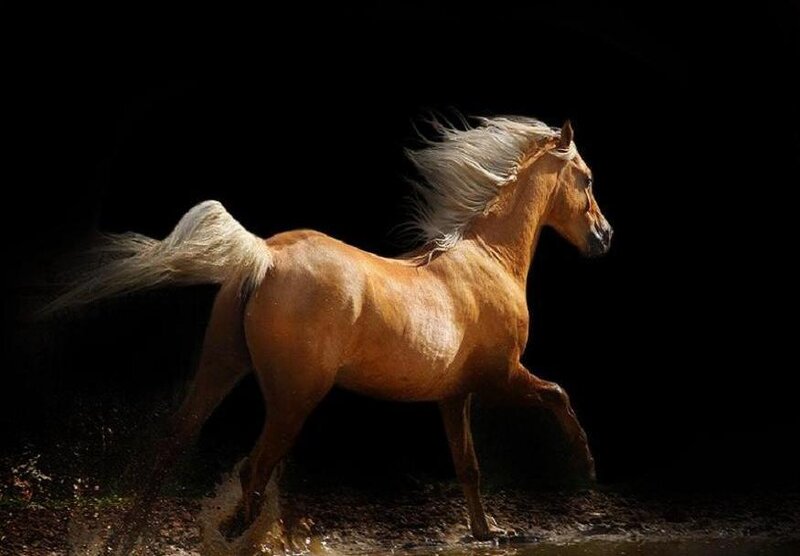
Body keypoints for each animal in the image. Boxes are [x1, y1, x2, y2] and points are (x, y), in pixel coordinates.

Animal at [48, 115, 612, 549]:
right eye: (585, 177)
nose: (604, 237)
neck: (488, 258)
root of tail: (265, 256)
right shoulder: (501, 375)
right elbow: (558, 394)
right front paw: (586, 469)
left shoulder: (455, 396)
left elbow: (468, 465)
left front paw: (487, 531)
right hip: (294, 396)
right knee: (254, 468)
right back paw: (248, 539)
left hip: (221, 369)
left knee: (172, 447)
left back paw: (124, 540)